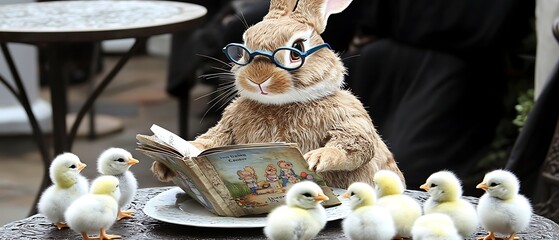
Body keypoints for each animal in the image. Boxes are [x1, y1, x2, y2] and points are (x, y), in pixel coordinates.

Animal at [152, 0, 406, 188]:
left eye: (297, 50)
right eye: (243, 49)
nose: (257, 78)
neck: (279, 104)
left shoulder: (348, 115)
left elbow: (357, 143)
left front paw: (319, 157)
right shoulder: (227, 125)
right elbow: (209, 140)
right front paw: (165, 163)